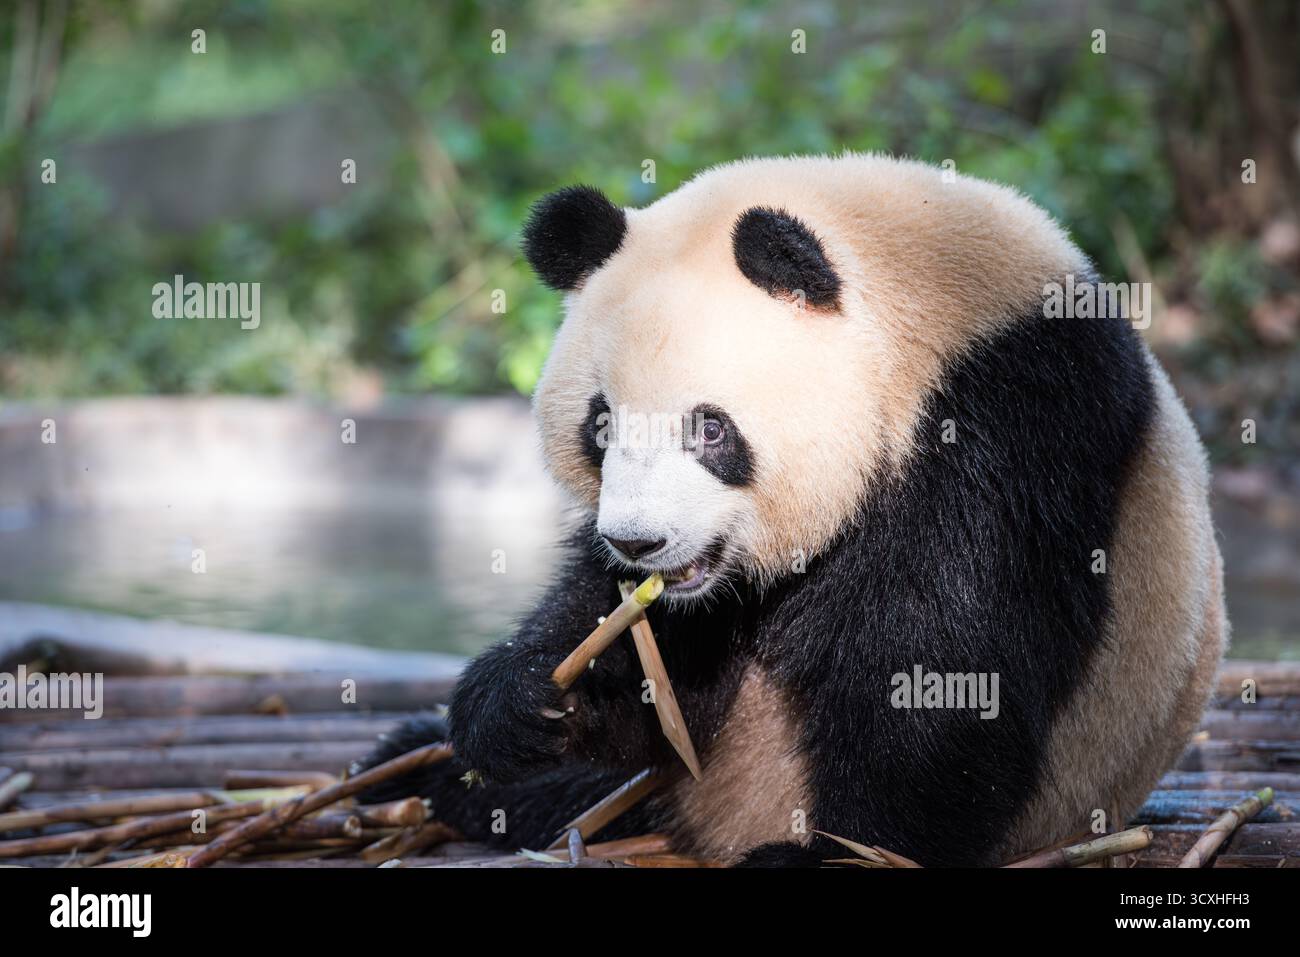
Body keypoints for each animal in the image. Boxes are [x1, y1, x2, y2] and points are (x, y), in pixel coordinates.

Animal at [359, 153, 1227, 867]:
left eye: (710, 427)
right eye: (600, 424)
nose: (639, 543)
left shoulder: (1008, 425)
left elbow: (945, 665)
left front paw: (841, 850)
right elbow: (649, 656)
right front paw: (526, 695)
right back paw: (411, 769)